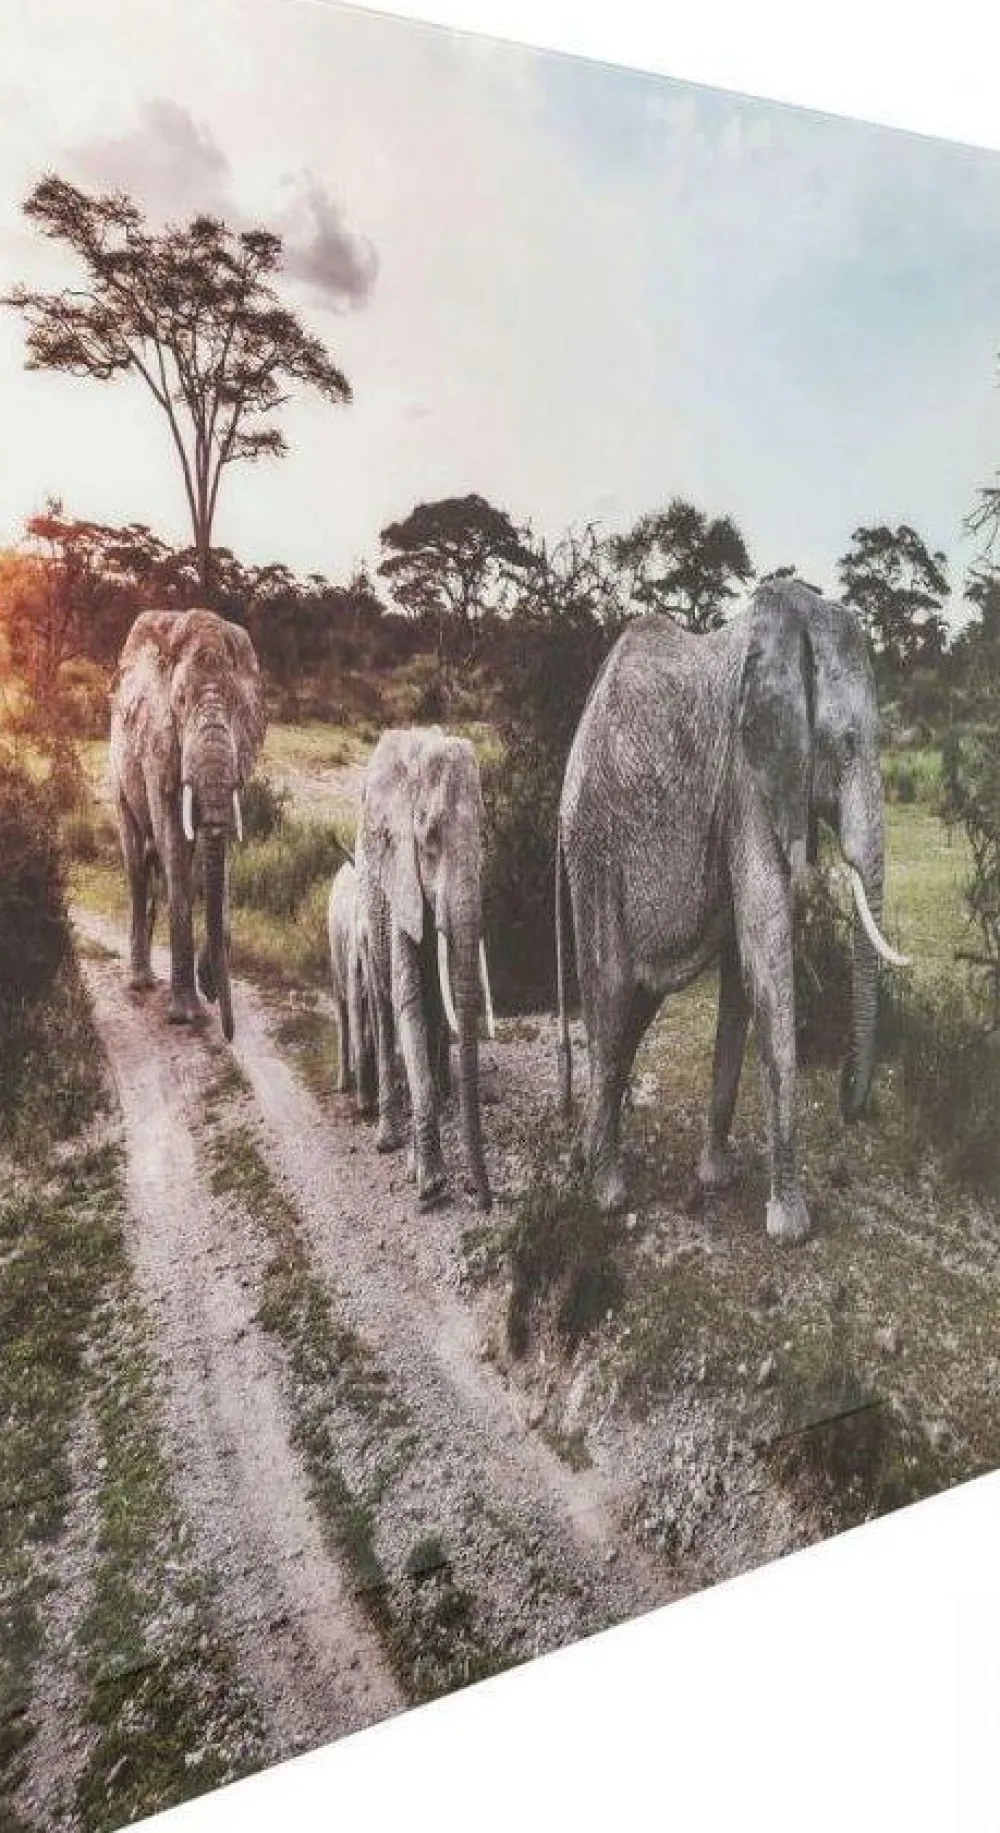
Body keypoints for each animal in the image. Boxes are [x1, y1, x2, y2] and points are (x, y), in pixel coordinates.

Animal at [109, 606, 267, 1040]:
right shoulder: (157, 744)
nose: (229, 1033)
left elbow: (218, 853)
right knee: (138, 863)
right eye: (179, 701)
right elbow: (175, 848)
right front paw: (185, 1015)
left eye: (237, 704)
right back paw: (141, 982)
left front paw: (210, 982)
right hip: (117, 776)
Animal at [356, 726, 496, 1211]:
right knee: (385, 1013)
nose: (484, 1199)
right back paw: (387, 1141)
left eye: (484, 836)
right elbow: (409, 1003)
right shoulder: (400, 882)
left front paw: (423, 1173)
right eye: (429, 837)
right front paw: (432, 1187)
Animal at [555, 578, 909, 1241]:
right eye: (847, 748)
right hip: (595, 854)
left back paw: (584, 1158)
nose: (848, 1099)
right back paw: (608, 1193)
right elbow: (766, 943)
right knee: (611, 1002)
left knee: (633, 1009)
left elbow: (746, 977)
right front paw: (791, 1229)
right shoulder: (751, 781)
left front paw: (717, 1178)